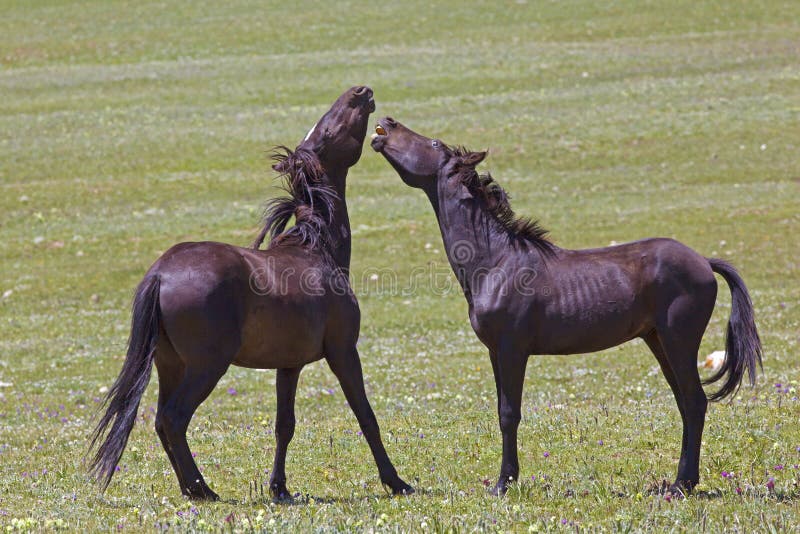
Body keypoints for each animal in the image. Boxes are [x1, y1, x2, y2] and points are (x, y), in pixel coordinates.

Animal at [88, 88, 416, 502]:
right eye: (328, 128)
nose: (361, 92)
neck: (317, 249)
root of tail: (161, 273)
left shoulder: (289, 364)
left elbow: (284, 425)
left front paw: (280, 488)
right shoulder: (343, 351)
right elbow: (366, 416)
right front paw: (396, 481)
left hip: (170, 364)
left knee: (162, 422)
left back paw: (190, 489)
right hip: (207, 366)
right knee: (174, 419)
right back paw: (203, 489)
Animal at [372, 117, 760, 498]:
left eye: (434, 143)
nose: (385, 123)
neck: (495, 262)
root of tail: (704, 262)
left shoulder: (513, 350)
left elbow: (509, 414)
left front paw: (503, 483)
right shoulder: (495, 352)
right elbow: (501, 410)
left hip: (678, 341)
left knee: (695, 402)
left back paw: (682, 485)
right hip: (659, 341)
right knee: (685, 403)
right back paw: (680, 482)